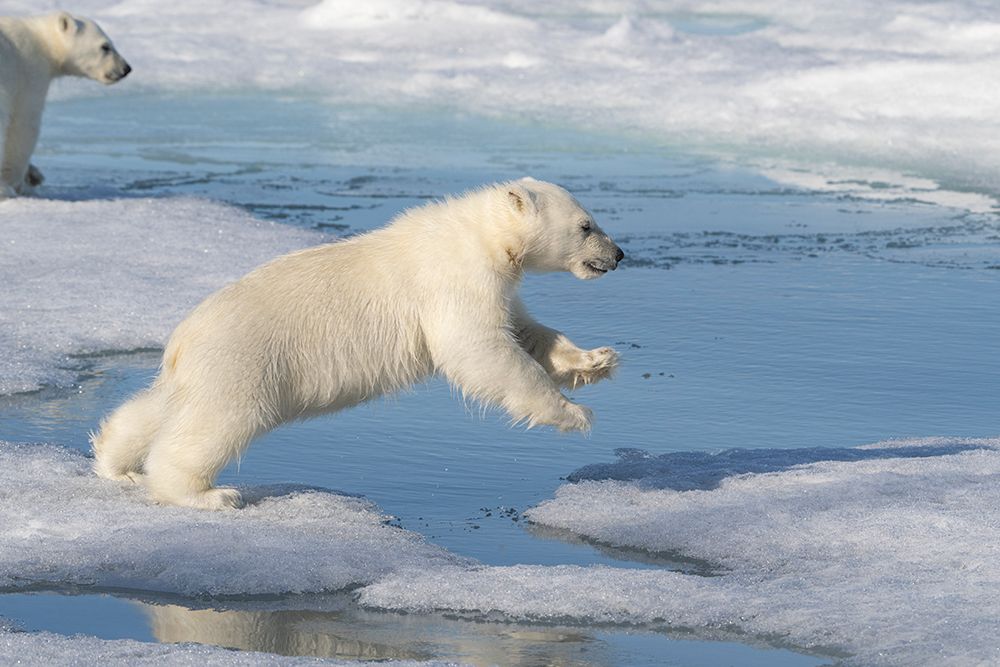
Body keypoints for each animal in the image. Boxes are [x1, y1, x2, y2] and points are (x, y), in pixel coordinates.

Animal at [0, 12, 130, 197]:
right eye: (105, 46)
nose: (126, 68)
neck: (42, 42)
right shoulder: (28, 72)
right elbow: (23, 126)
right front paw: (17, 182)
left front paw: (34, 174)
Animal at [92, 179, 625, 510]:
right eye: (586, 225)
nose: (619, 254)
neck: (481, 236)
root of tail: (181, 339)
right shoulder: (454, 279)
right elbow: (479, 350)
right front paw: (573, 413)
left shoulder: (497, 284)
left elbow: (527, 332)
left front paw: (598, 360)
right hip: (244, 362)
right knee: (215, 424)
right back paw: (207, 494)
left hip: (199, 369)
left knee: (155, 409)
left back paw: (116, 464)